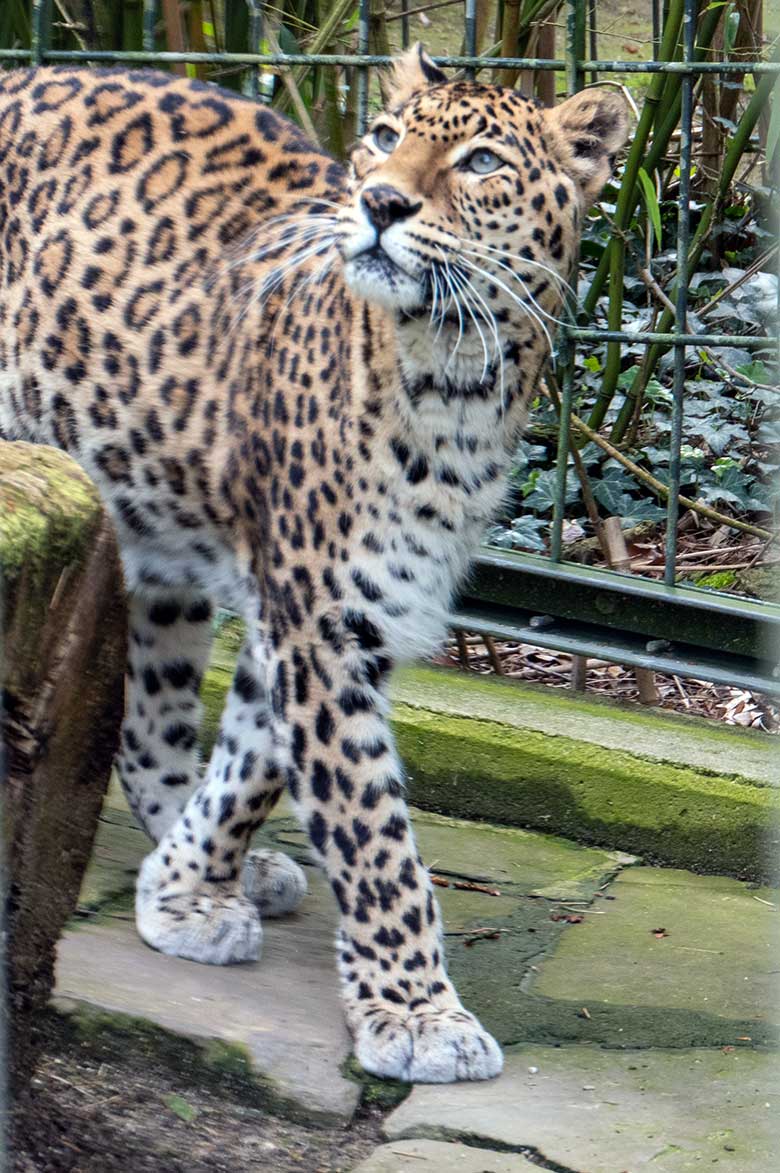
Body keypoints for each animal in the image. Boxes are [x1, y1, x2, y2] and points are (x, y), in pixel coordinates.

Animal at [0, 50, 628, 1083]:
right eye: (383, 137)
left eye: (483, 161)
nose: (380, 201)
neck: (457, 378)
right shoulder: (318, 620)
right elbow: (375, 834)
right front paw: (418, 1012)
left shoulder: (338, 611)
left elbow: (253, 759)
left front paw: (184, 889)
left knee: (153, 712)